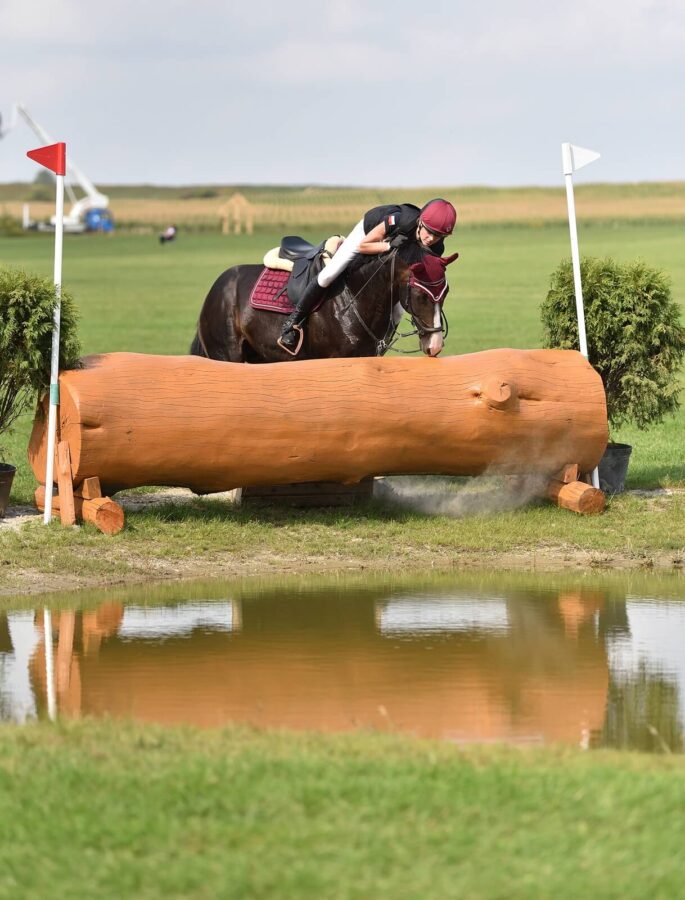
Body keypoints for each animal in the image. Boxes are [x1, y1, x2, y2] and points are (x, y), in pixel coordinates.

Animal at [190, 243, 456, 366]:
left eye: (444, 293)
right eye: (421, 295)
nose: (435, 345)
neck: (355, 298)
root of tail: (217, 286)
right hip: (226, 354)